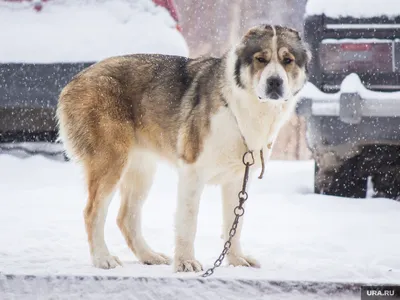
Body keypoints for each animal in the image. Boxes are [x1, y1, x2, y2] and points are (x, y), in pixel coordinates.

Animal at [56, 24, 310, 272]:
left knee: (126, 217)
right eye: (261, 59)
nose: (275, 82)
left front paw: (237, 259)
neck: (242, 107)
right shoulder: (192, 172)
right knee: (93, 212)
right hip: (111, 161)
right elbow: (188, 222)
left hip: (141, 169)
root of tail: (74, 80)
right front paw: (186, 262)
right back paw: (102, 258)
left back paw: (149, 256)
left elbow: (234, 223)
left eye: (288, 60)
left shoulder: (237, 179)